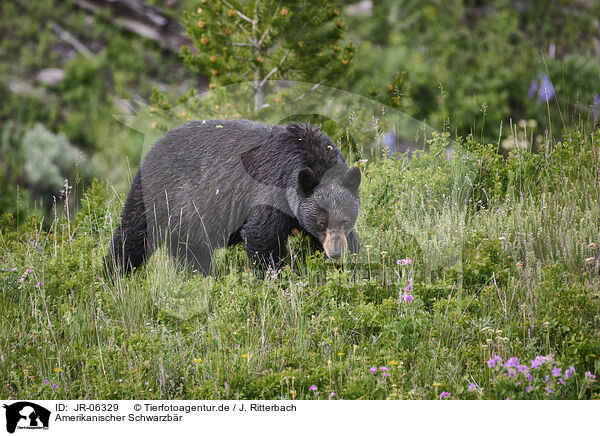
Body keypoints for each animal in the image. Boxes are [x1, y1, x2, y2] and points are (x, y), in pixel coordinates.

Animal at [106, 118, 360, 276]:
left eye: (346, 220)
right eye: (321, 222)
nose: (336, 253)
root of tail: (153, 147)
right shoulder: (271, 186)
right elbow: (262, 236)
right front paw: (274, 277)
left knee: (190, 252)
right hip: (159, 194)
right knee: (133, 234)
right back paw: (115, 273)